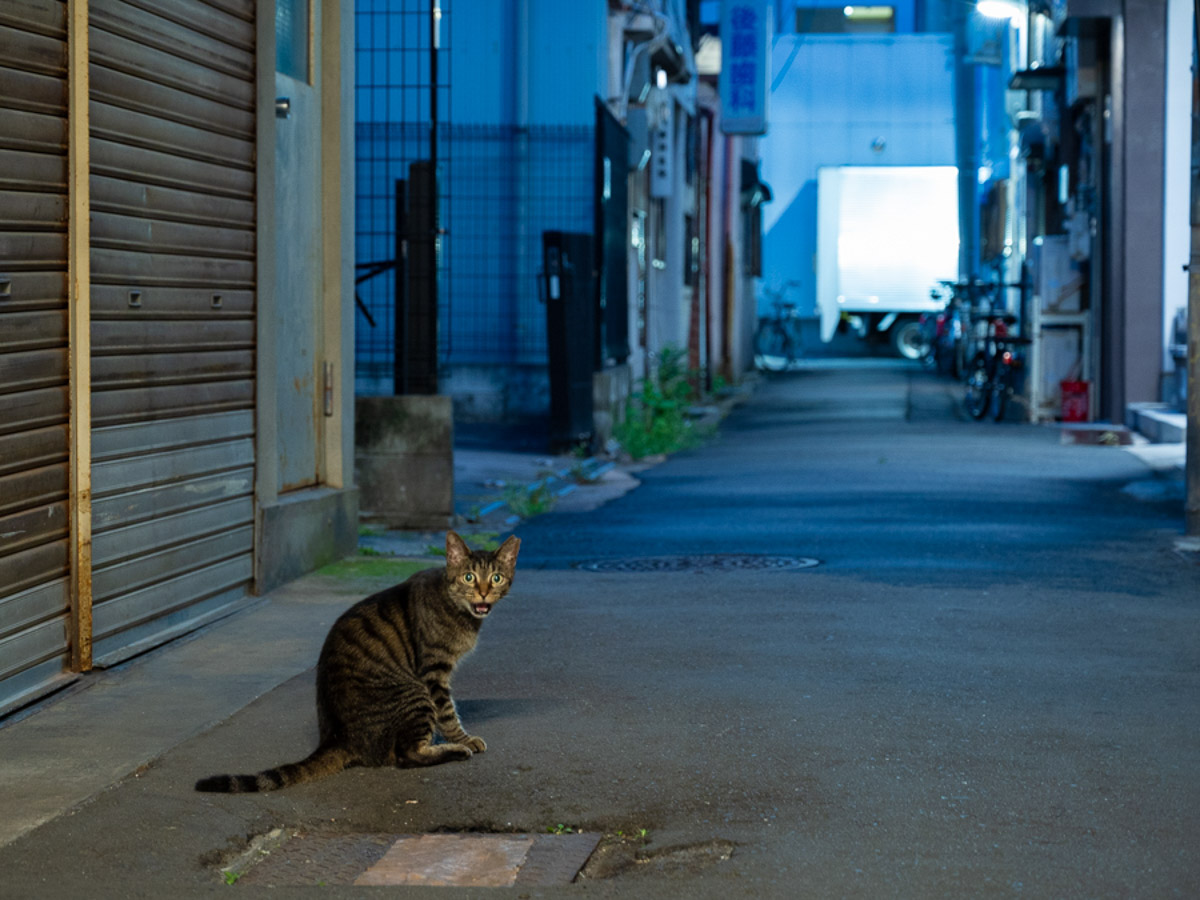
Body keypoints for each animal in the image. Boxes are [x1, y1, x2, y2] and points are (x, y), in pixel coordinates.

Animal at [194, 532, 518, 792]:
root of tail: (336, 736)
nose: (484, 593)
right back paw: (453, 750)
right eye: (469, 577)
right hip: (414, 692)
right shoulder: (433, 672)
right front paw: (464, 739)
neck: (459, 609)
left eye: (497, 578)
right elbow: (448, 712)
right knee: (406, 755)